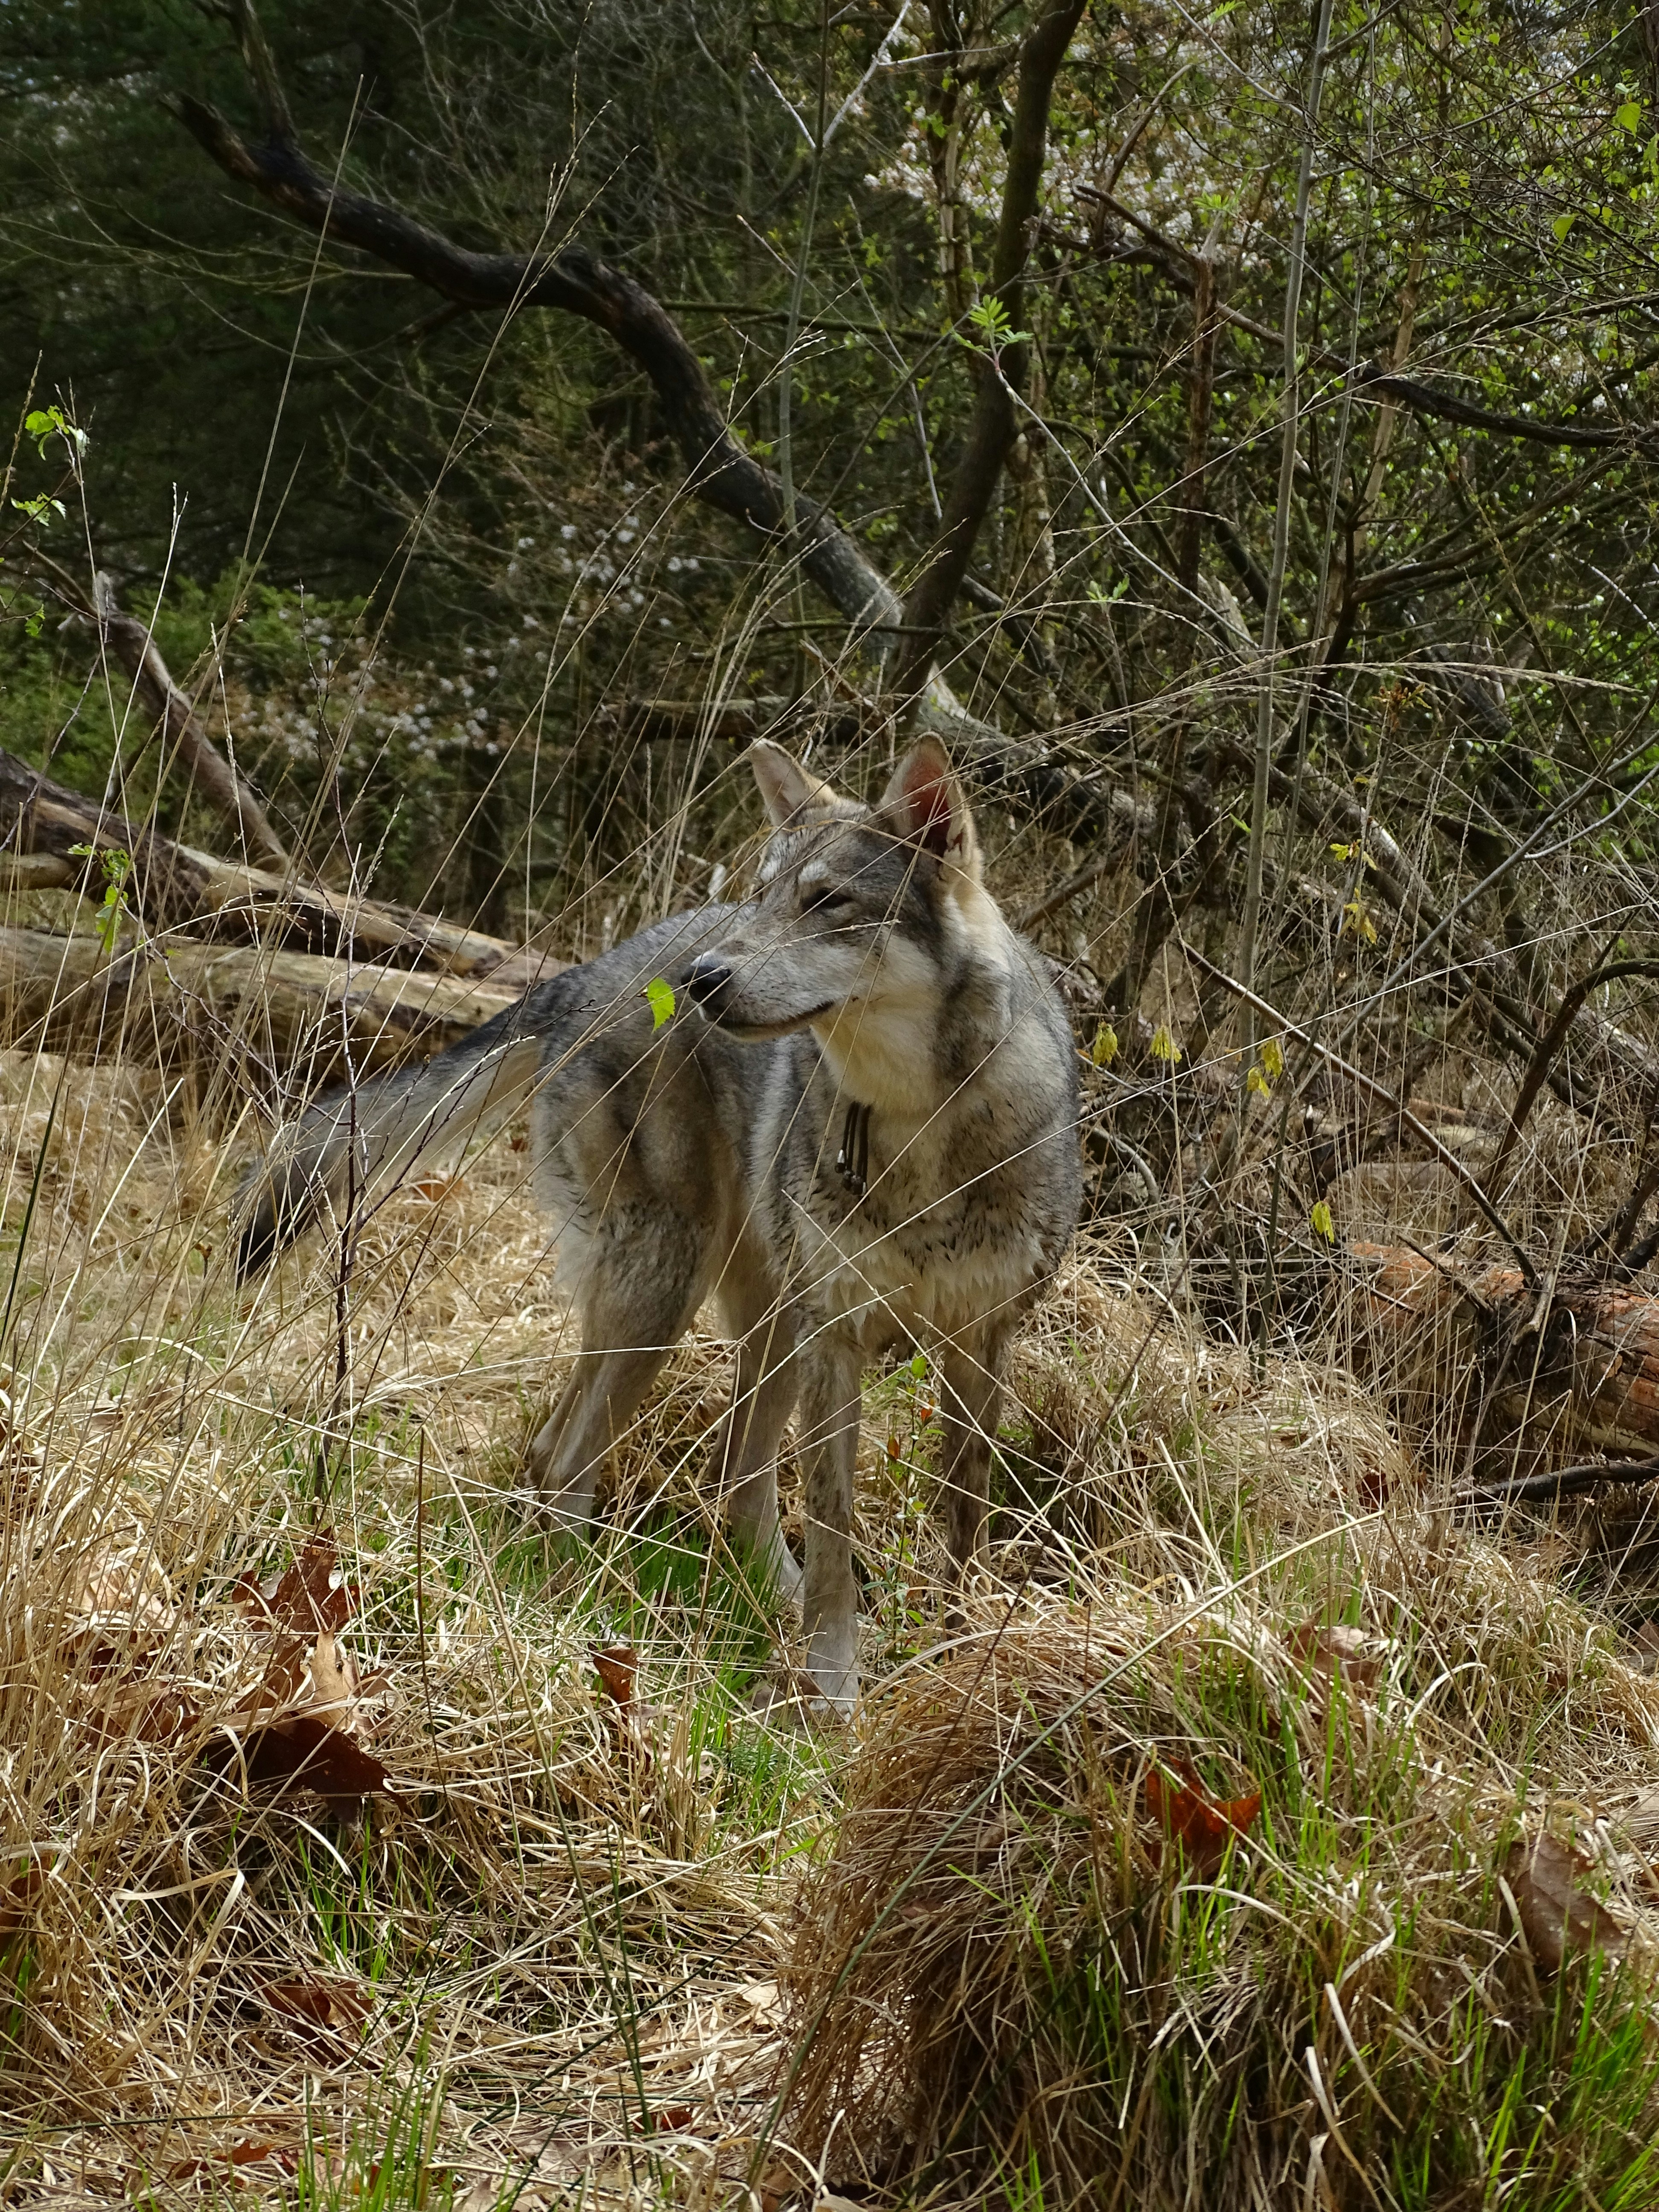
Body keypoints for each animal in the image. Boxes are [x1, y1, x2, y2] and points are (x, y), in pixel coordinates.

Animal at [237, 737, 1082, 1710]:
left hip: (746, 1321)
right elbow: (835, 1538)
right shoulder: (838, 1341)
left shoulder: (981, 1341)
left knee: (718, 1481)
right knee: (571, 1460)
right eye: (763, 894)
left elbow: (964, 1527)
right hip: (671, 1296)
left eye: (827, 901)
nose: (703, 980)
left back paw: (758, 1607)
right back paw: (576, 1615)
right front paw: (834, 1695)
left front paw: (960, 1654)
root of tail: (583, 972)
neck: (918, 1127)